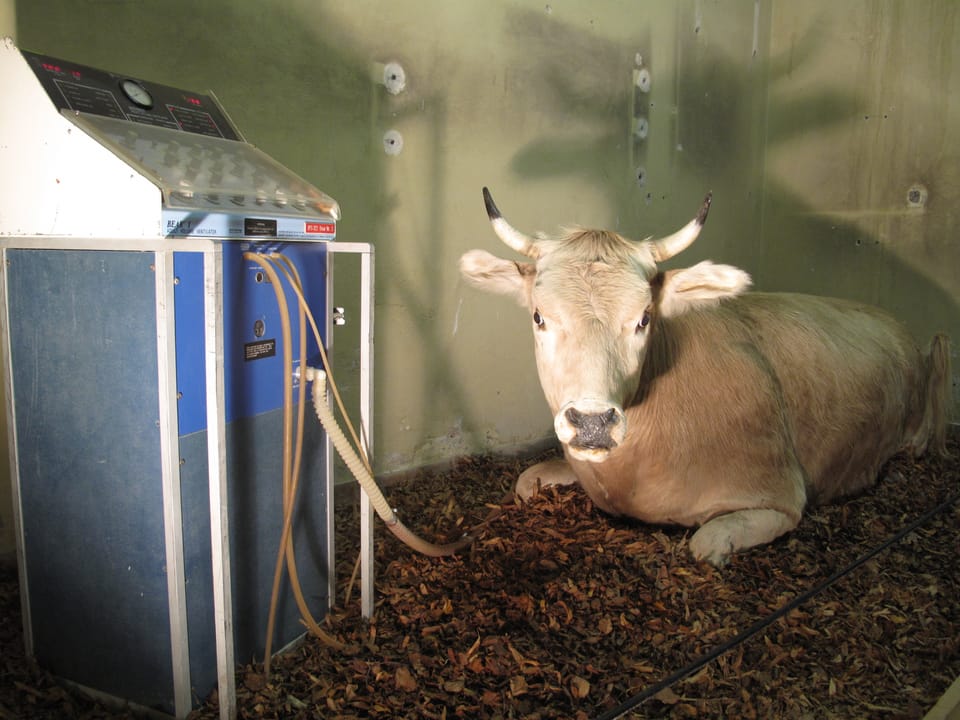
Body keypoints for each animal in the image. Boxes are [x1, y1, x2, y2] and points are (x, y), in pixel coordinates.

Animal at [460, 188, 951, 565]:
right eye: (539, 316)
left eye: (644, 318)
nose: (593, 423)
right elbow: (525, 481)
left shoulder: (780, 496)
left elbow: (705, 543)